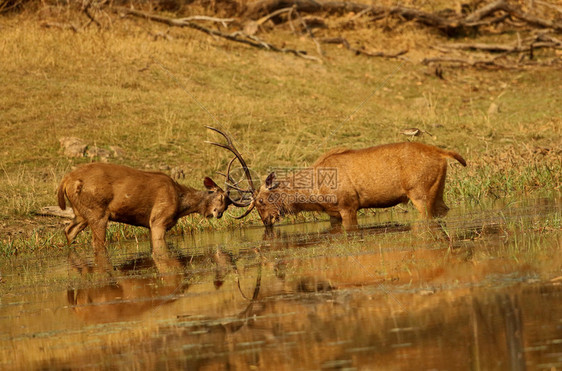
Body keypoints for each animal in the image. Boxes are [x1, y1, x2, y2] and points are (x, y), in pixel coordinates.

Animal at [205, 129, 464, 231]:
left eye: (260, 201)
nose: (267, 222)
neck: (314, 196)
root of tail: (443, 153)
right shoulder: (333, 213)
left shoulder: (348, 205)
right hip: (437, 190)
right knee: (445, 210)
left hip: (420, 192)